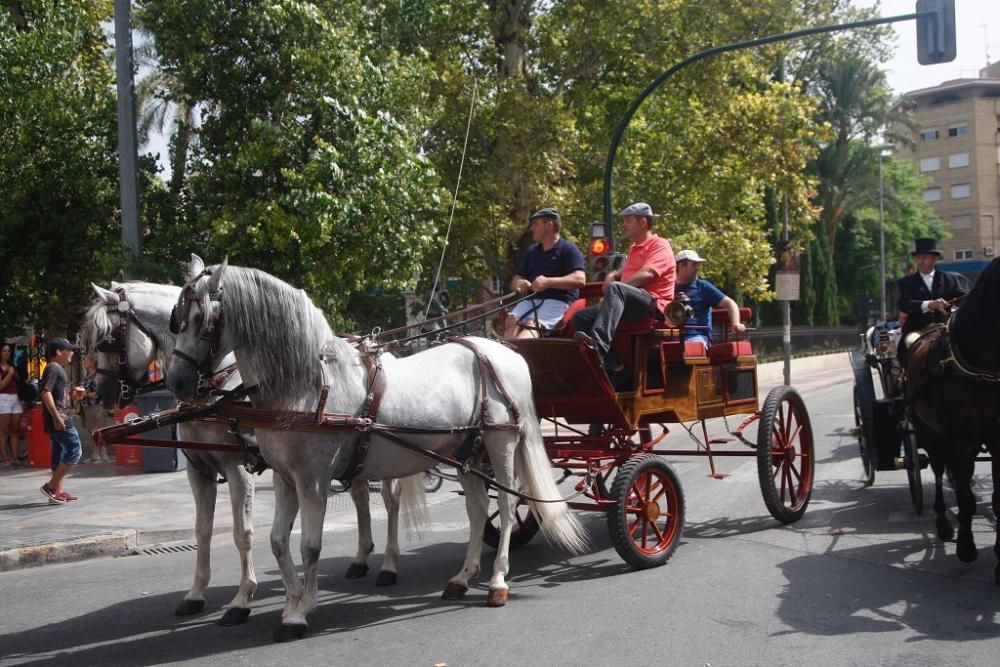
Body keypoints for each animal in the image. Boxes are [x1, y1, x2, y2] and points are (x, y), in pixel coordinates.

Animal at [163, 258, 584, 640]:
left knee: (509, 507)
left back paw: (497, 580)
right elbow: (278, 542)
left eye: (203, 319)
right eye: (176, 319)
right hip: (467, 451)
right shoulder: (284, 478)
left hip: (501, 443)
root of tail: (502, 352)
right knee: (479, 510)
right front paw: (290, 601)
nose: (177, 383)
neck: (309, 387)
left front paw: (300, 612)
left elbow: (310, 546)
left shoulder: (312, 480)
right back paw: (463, 577)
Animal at [908, 256, 1000, 584]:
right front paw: (967, 548)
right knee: (937, 469)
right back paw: (944, 524)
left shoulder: (997, 439)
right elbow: (965, 496)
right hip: (929, 432)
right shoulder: (957, 439)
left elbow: (996, 497)